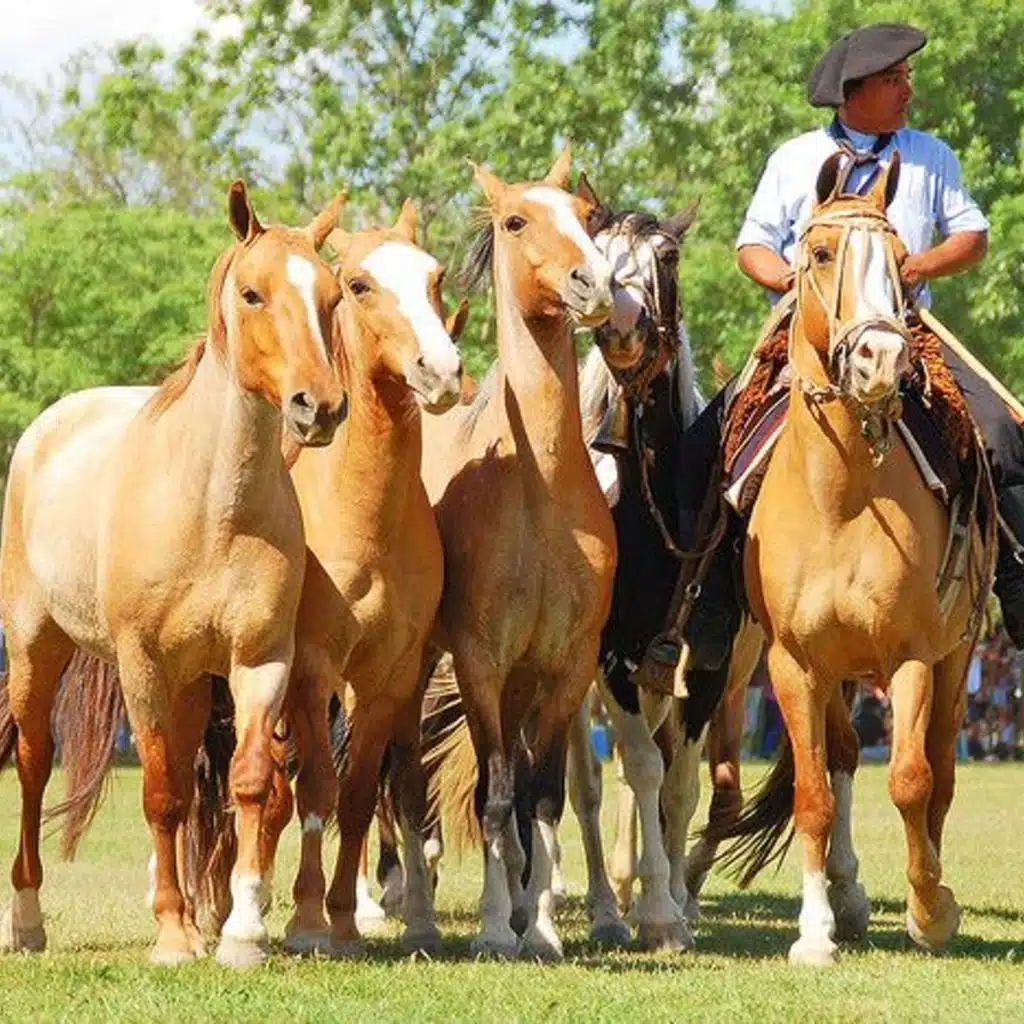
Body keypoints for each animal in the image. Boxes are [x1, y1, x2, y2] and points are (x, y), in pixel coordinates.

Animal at [0, 181, 347, 967]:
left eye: (334, 295)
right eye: (252, 293)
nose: (319, 406)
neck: (213, 508)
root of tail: (45, 430)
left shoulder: (259, 660)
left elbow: (247, 786)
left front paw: (241, 934)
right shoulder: (144, 667)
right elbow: (160, 795)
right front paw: (171, 937)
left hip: (191, 686)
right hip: (37, 650)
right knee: (34, 768)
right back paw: (27, 921)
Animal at [721, 151, 993, 966]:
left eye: (901, 262)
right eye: (817, 253)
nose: (880, 356)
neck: (839, 498)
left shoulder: (912, 655)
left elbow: (910, 779)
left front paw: (931, 907)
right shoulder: (793, 663)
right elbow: (814, 790)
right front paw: (814, 931)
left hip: (955, 658)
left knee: (939, 773)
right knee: (842, 757)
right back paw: (843, 894)